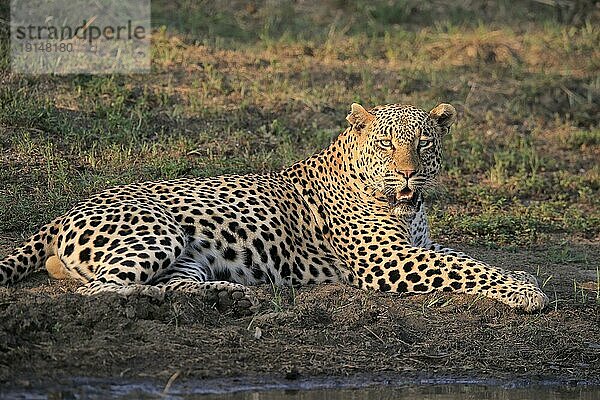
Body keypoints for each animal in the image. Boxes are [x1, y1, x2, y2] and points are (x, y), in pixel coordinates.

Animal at [0, 101, 552, 310]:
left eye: (423, 144)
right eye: (386, 143)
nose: (408, 173)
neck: (405, 205)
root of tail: (64, 212)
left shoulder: (417, 245)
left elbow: (462, 257)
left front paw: (523, 282)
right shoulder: (387, 260)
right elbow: (468, 266)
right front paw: (527, 292)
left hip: (186, 258)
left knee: (173, 285)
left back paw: (237, 294)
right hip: (157, 236)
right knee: (98, 290)